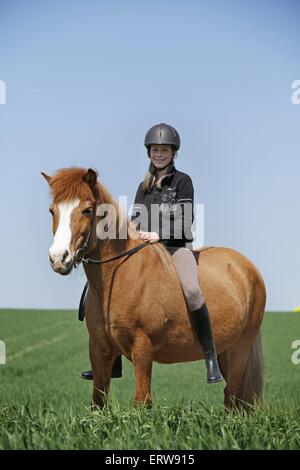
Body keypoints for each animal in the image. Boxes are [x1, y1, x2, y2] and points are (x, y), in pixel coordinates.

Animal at [41, 168, 264, 408]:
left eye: (87, 210)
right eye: (52, 210)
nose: (58, 258)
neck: (118, 277)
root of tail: (247, 267)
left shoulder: (142, 349)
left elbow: (141, 401)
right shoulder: (99, 349)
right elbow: (98, 402)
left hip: (240, 348)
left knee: (233, 396)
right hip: (225, 350)